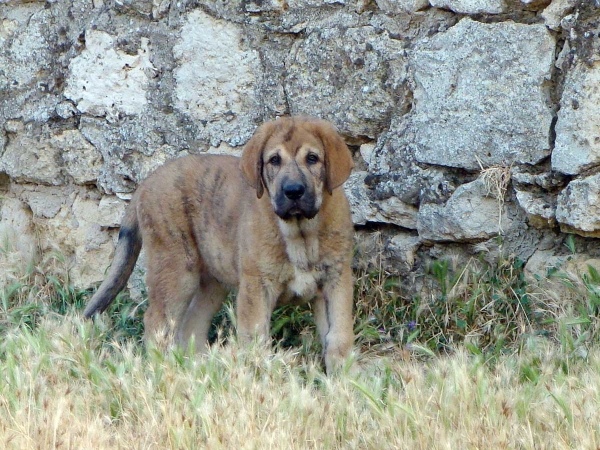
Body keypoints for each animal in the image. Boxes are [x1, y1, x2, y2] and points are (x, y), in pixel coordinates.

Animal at [84, 117, 356, 372]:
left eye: (312, 158)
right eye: (274, 160)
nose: (293, 191)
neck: (301, 234)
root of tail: (145, 184)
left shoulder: (335, 282)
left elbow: (339, 338)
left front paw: (342, 381)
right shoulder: (257, 287)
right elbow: (256, 341)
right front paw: (258, 375)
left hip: (212, 282)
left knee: (190, 326)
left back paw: (199, 368)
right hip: (176, 270)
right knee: (157, 322)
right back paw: (163, 369)